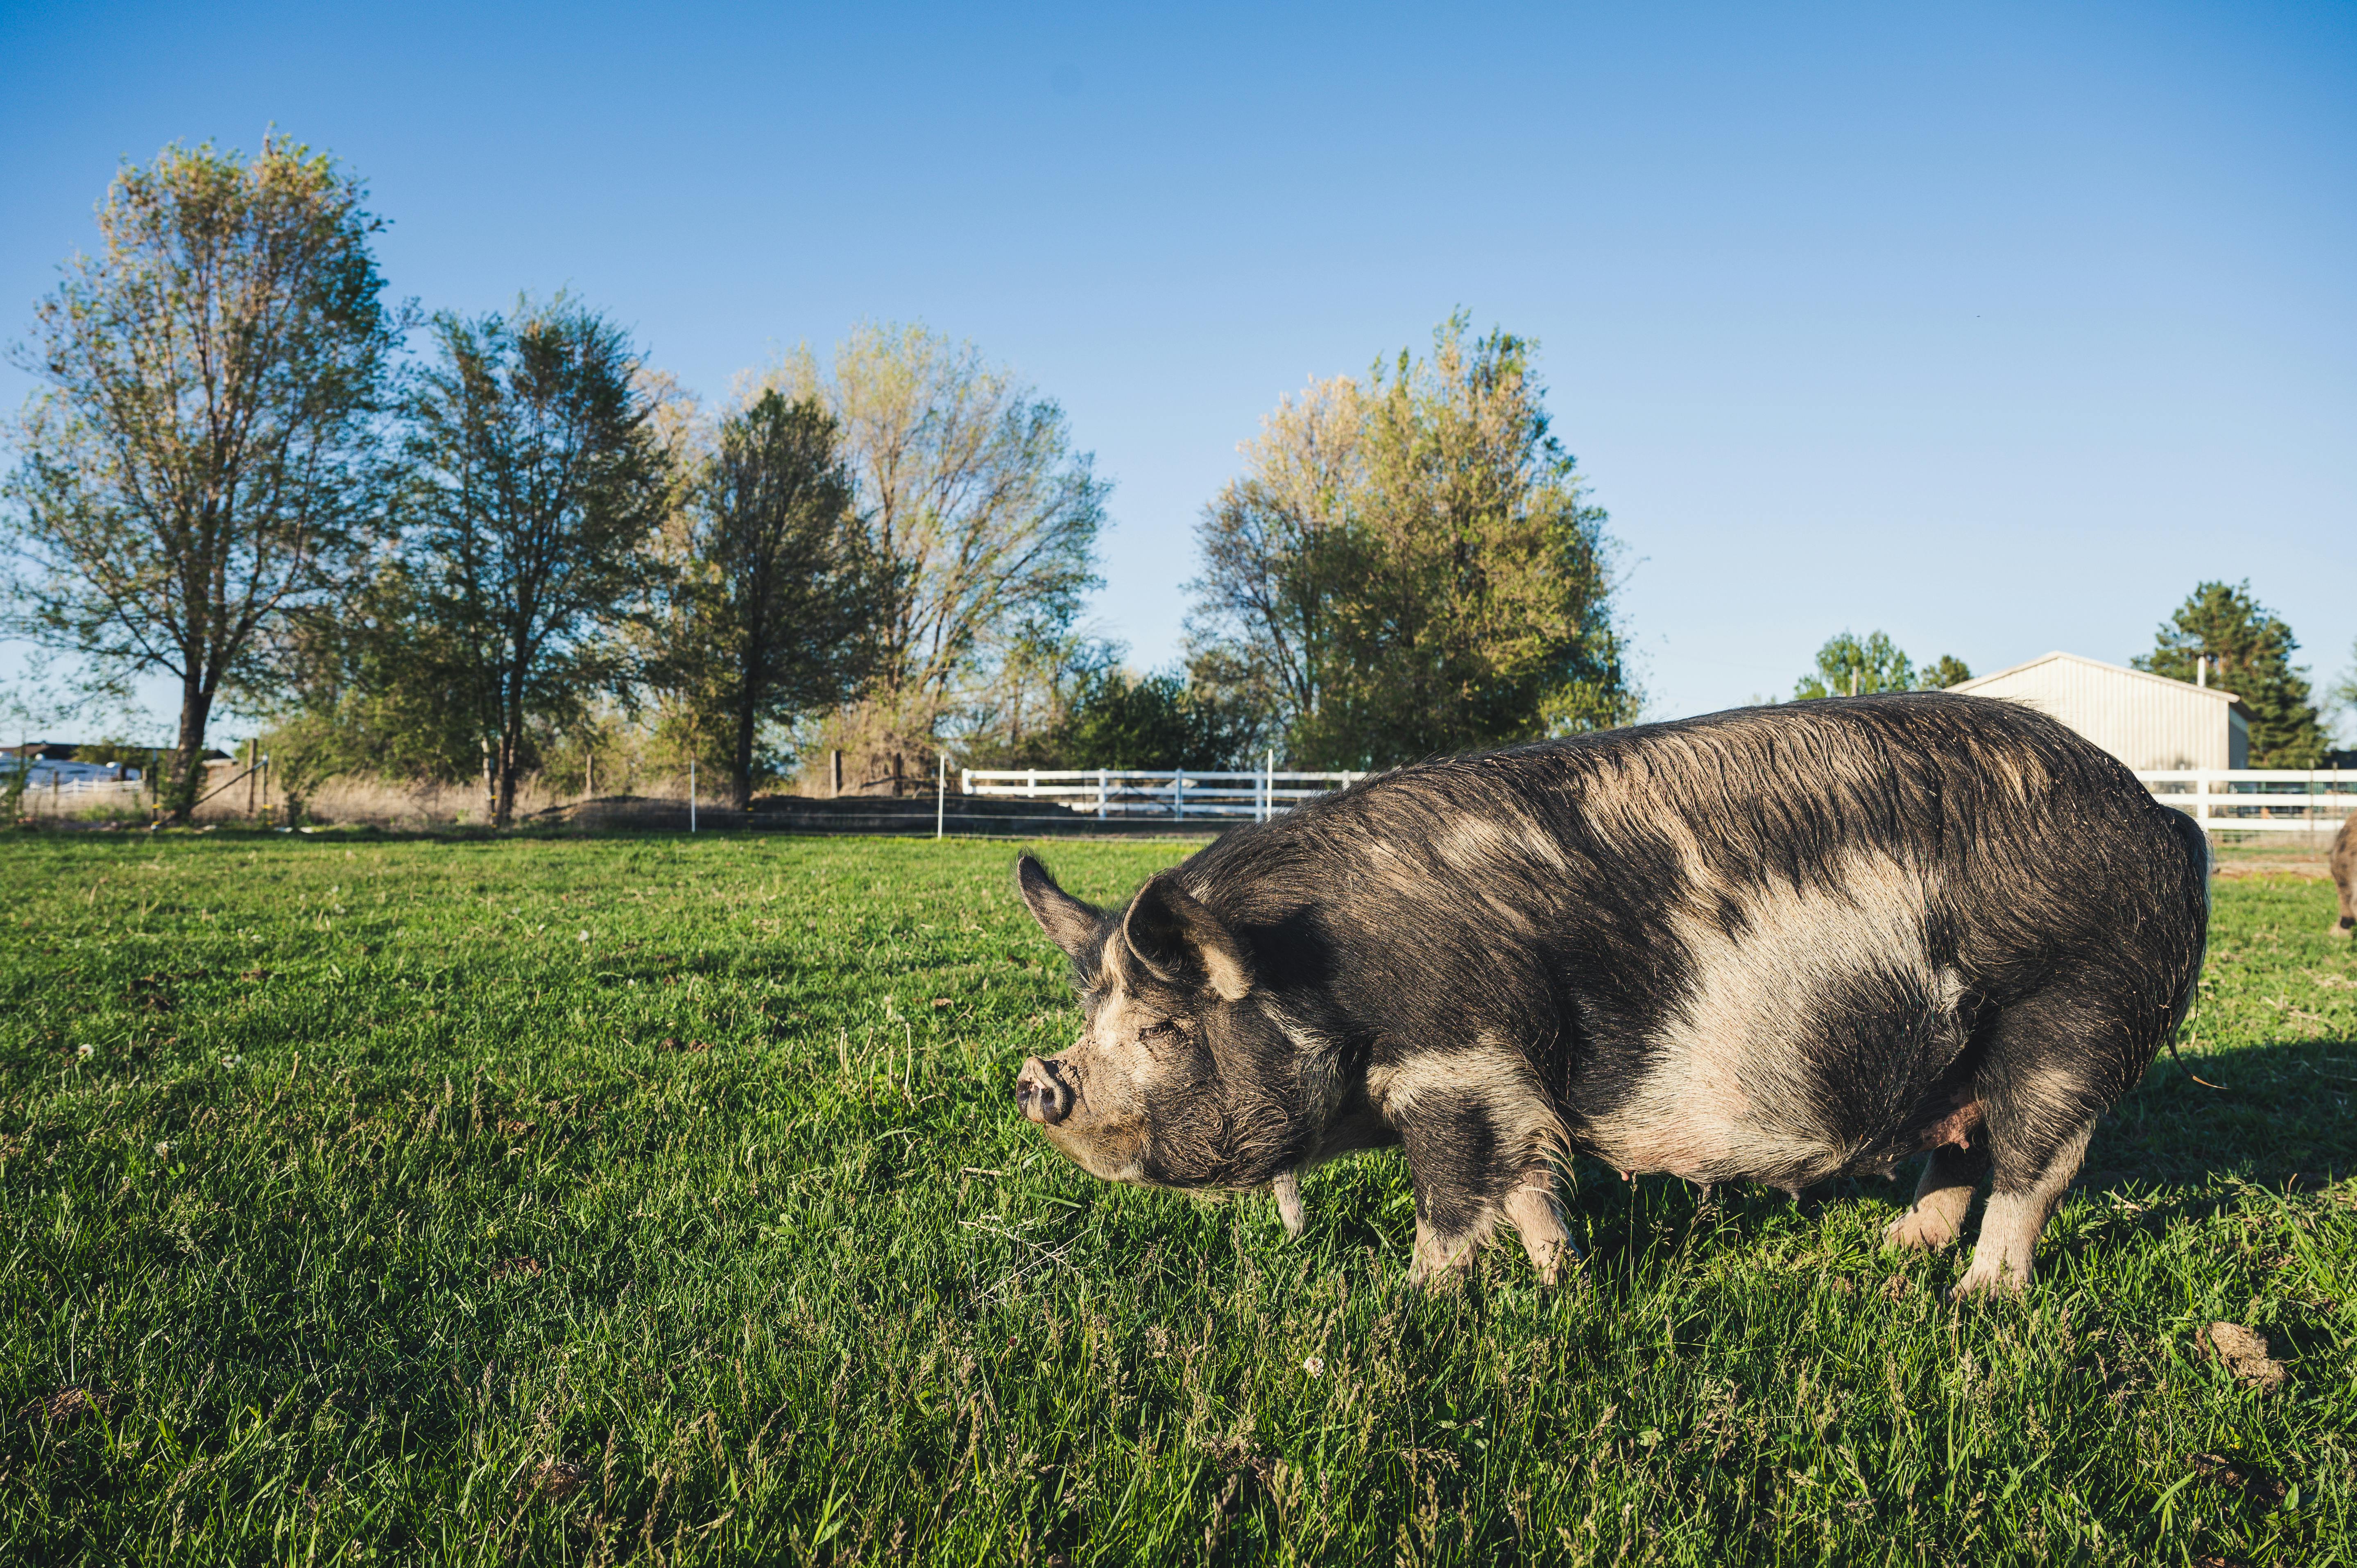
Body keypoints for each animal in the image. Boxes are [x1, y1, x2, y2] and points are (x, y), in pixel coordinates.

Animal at [1011, 693, 2210, 1296]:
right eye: (1091, 1017)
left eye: (1164, 1026)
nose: (1037, 1079)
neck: (1329, 975)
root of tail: (2167, 823)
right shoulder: (1515, 1087)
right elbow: (1531, 1188)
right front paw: (1561, 1285)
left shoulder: (1457, 1065)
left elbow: (1454, 1199)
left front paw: (1416, 1302)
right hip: (1961, 1050)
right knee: (1958, 1147)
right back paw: (1896, 1252)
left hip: (2073, 1019)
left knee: (2035, 1167)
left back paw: (1977, 1301)